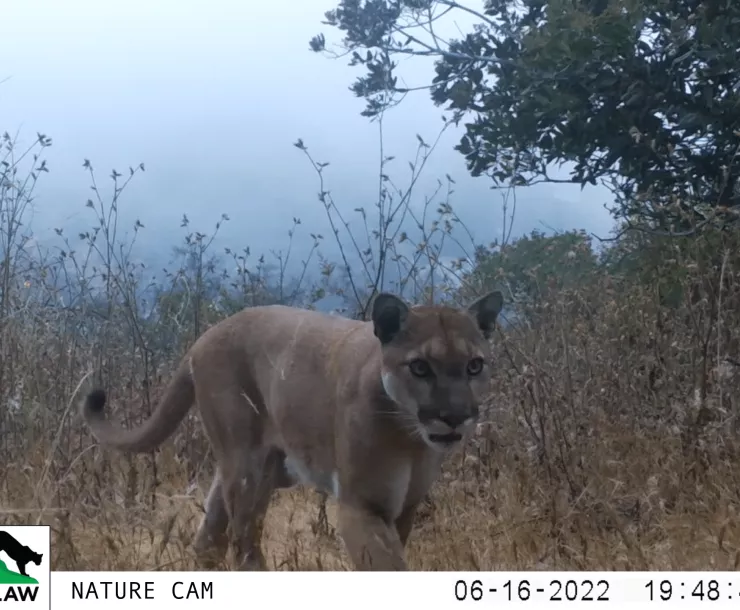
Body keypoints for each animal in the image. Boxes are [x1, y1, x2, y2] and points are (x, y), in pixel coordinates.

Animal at [80, 290, 503, 571]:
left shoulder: (405, 508)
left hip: (261, 469)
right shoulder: (362, 505)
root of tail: (205, 336)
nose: (455, 416)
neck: (410, 438)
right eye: (420, 367)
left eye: (474, 365)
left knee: (212, 535)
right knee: (243, 541)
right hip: (247, 466)